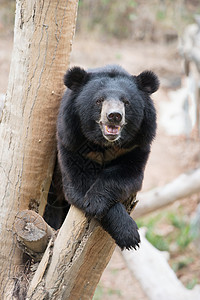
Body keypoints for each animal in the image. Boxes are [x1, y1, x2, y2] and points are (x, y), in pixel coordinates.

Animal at [49, 64, 159, 250]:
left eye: (126, 102)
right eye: (99, 100)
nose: (114, 116)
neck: (105, 144)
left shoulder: (137, 145)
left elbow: (128, 175)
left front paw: (96, 202)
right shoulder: (71, 141)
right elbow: (78, 184)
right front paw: (129, 235)